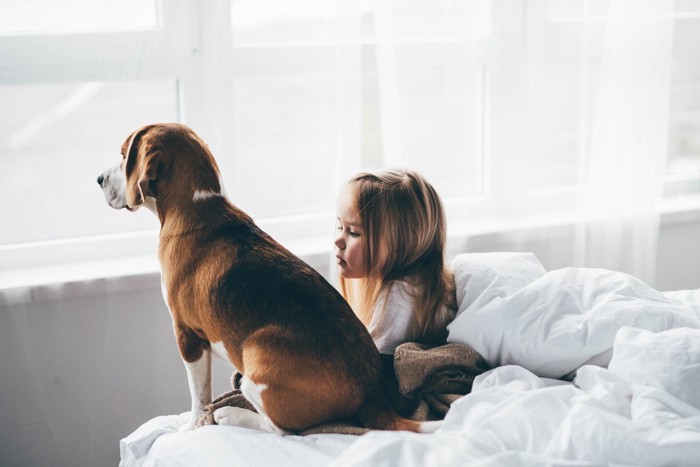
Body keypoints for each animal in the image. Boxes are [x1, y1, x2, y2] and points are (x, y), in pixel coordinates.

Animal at [95, 124, 434, 436]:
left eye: (124, 156)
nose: (98, 179)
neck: (196, 206)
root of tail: (371, 394)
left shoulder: (187, 335)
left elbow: (199, 395)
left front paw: (193, 425)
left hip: (253, 364)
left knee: (280, 428)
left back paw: (232, 415)